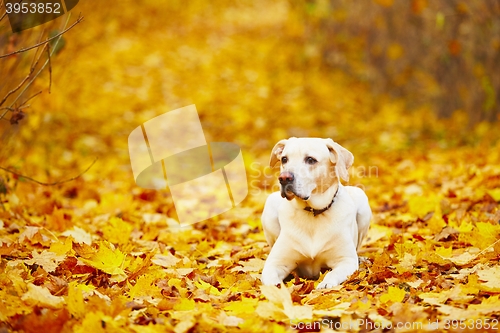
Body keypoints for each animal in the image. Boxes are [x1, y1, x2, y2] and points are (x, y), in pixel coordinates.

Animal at [262, 137, 372, 288]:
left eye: (310, 159)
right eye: (284, 159)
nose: (284, 178)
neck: (312, 212)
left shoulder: (346, 261)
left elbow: (333, 273)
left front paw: (326, 284)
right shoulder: (275, 263)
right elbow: (271, 282)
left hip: (362, 199)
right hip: (269, 205)